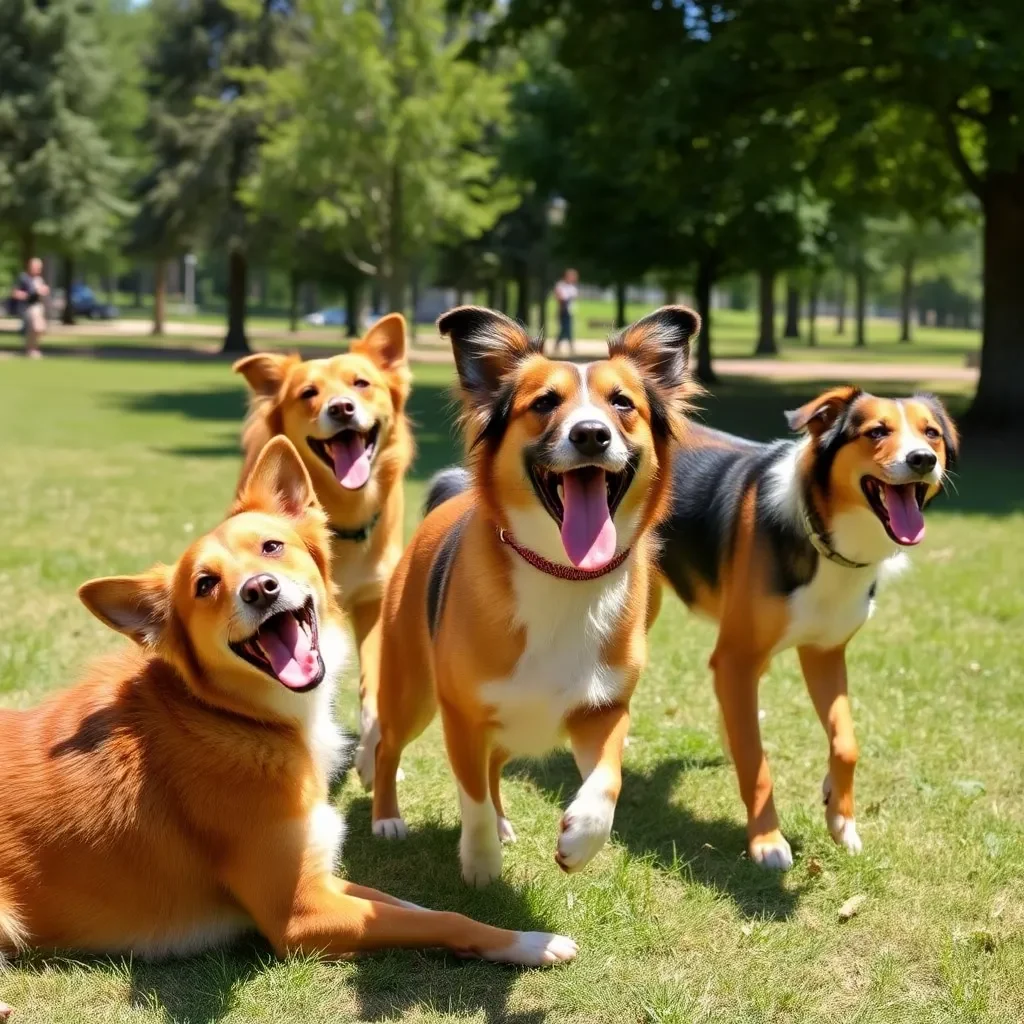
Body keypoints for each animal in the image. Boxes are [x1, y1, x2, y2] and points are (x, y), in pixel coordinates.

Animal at [0, 436, 577, 962]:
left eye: (271, 547)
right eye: (205, 584)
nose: (260, 589)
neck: (231, 716)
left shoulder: (322, 877)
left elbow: (404, 904)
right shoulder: (298, 913)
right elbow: (444, 920)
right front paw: (528, 941)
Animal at [234, 311, 413, 737]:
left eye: (361, 383)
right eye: (308, 393)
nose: (342, 408)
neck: (343, 514)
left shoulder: (373, 598)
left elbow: (373, 677)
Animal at [356, 301, 700, 880]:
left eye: (622, 402)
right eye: (544, 403)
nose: (591, 434)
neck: (563, 573)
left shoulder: (603, 709)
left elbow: (608, 782)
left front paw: (579, 839)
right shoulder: (463, 715)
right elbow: (470, 795)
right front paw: (479, 861)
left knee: (496, 766)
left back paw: (501, 821)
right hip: (412, 692)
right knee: (388, 748)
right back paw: (387, 818)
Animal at [651, 387, 954, 868]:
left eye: (932, 434)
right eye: (877, 432)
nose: (923, 459)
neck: (826, 538)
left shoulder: (824, 653)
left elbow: (846, 742)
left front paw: (841, 817)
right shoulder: (737, 657)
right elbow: (756, 762)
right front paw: (767, 842)